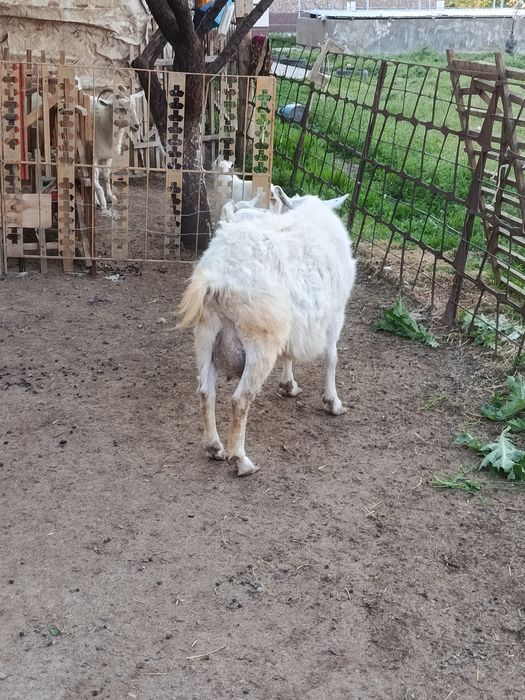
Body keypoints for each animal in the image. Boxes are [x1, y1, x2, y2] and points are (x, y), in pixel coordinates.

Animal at [178, 192, 356, 476]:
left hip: (206, 336)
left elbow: (290, 355)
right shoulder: (335, 314)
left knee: (206, 392)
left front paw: (288, 384)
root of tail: (217, 278)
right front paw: (333, 402)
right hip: (259, 342)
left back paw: (214, 447)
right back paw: (241, 460)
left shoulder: (295, 323)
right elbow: (332, 358)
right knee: (240, 400)